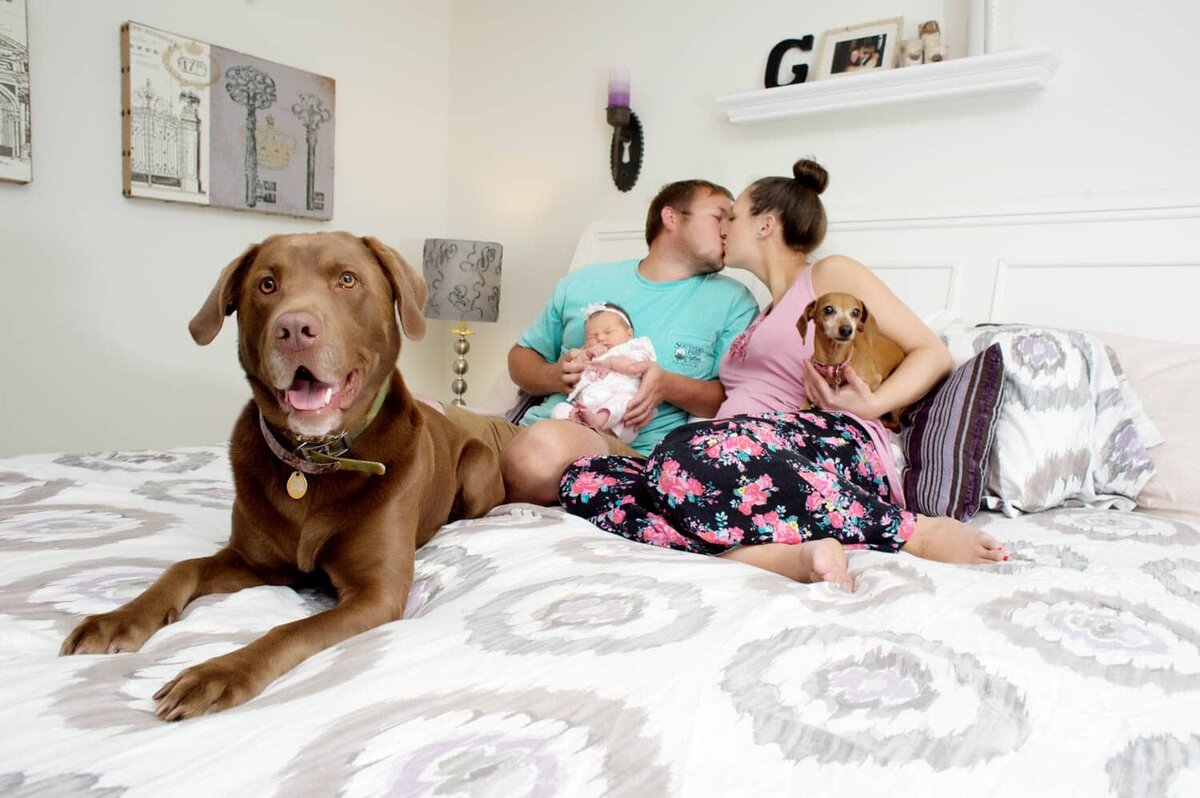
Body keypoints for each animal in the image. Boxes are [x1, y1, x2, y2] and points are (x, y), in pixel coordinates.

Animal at [59, 231, 501, 720]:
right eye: (267, 285)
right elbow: (181, 568)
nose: (293, 329)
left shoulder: (377, 594)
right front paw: (117, 619)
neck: (313, 459)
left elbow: (291, 630)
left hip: (478, 469)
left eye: (348, 279)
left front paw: (217, 673)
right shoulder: (255, 562)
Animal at [801, 292, 902, 427]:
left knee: (895, 424)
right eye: (828, 309)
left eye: (856, 312)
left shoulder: (874, 381)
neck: (834, 362)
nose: (846, 329)